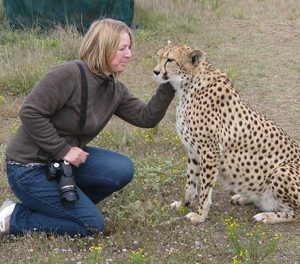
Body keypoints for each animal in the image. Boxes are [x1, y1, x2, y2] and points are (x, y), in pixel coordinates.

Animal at [154, 42, 298, 224]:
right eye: (159, 56)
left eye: (170, 60)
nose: (155, 71)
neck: (189, 85)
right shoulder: (194, 151)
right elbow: (190, 183)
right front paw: (183, 204)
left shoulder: (210, 152)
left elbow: (204, 189)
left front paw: (200, 215)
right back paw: (243, 198)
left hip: (281, 170)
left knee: (295, 213)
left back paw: (267, 216)